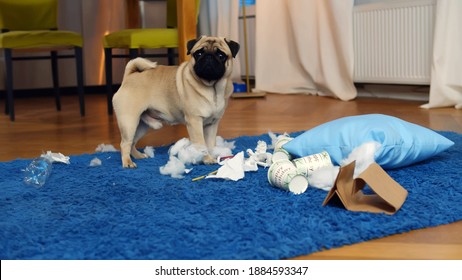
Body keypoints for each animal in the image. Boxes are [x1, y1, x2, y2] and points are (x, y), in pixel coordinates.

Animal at [113, 35, 240, 167]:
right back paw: (128, 162)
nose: (209, 57)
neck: (213, 88)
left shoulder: (212, 124)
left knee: (132, 142)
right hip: (129, 122)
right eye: (198, 53)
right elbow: (201, 144)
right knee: (125, 143)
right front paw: (206, 159)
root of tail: (129, 77)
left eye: (221, 55)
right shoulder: (195, 121)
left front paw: (211, 156)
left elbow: (210, 143)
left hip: (141, 125)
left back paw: (138, 156)